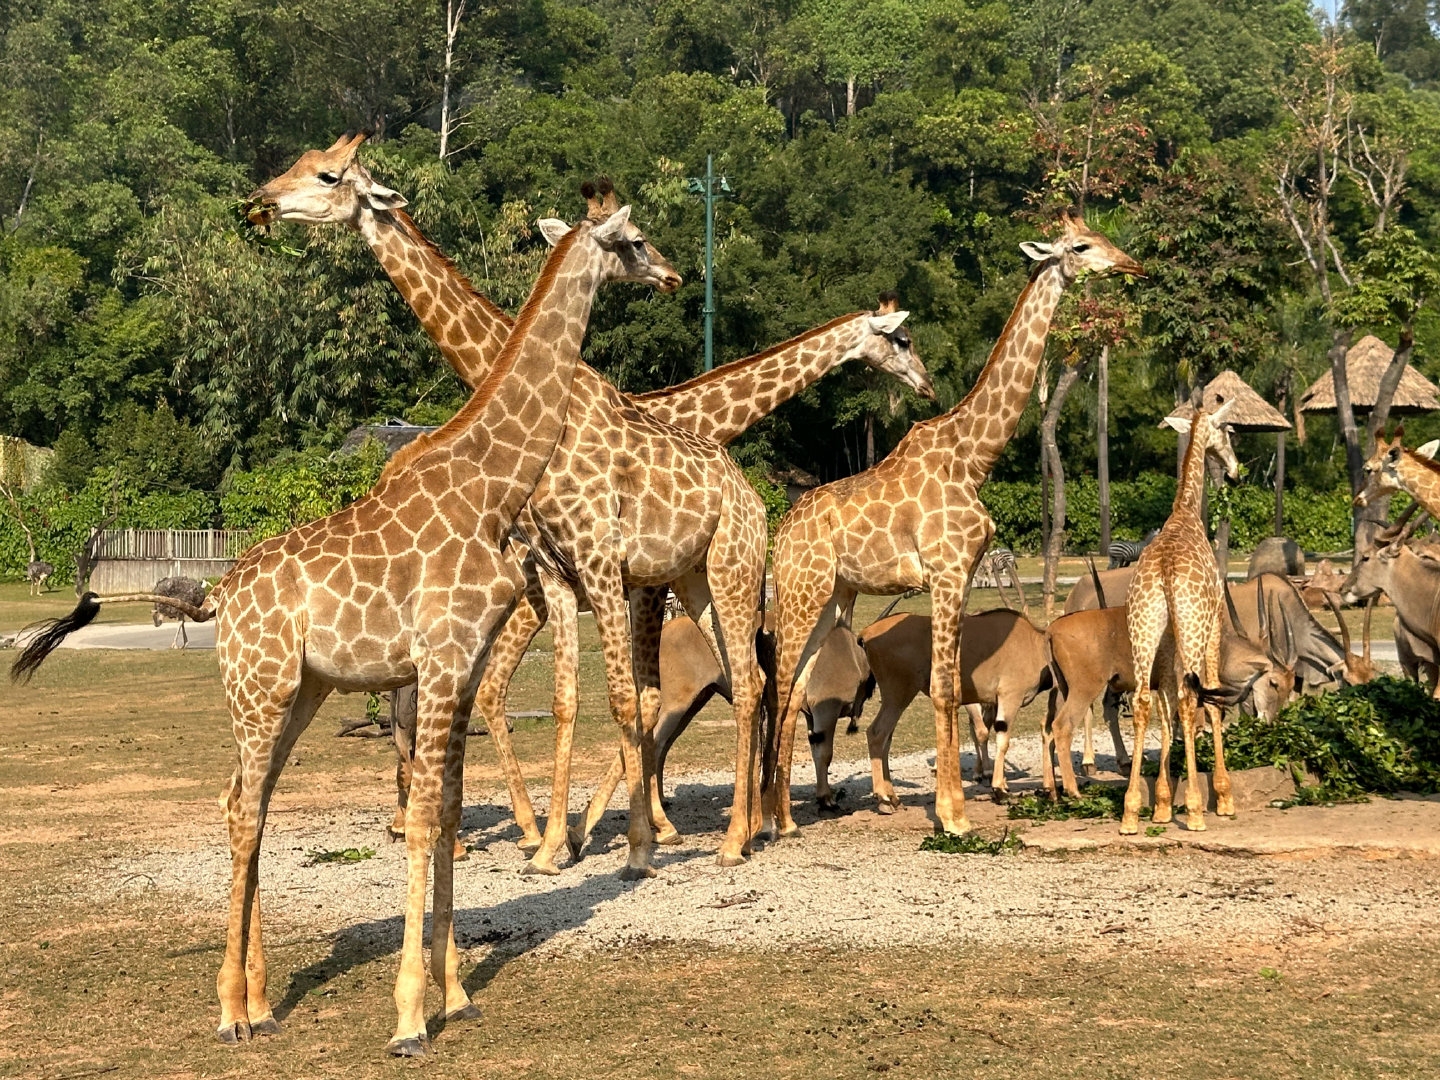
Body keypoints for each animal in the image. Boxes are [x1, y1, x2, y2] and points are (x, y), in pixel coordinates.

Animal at [14, 182, 679, 1054]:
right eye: (633, 240)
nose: (672, 275)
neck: (490, 488)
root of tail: (222, 594)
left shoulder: (459, 669)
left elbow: (448, 813)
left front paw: (456, 995)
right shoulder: (440, 661)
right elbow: (423, 816)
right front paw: (409, 1018)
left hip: (302, 691)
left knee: (244, 802)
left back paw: (261, 1002)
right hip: (260, 690)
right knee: (244, 807)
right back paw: (231, 1011)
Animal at [249, 137, 933, 869]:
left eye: (324, 174)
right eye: (902, 339)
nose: (262, 201)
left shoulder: (627, 580)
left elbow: (634, 697)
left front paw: (619, 831)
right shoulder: (588, 578)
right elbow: (597, 700)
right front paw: (589, 834)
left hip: (701, 576)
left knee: (754, 679)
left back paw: (741, 826)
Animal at [760, 211, 1140, 835]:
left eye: (1104, 236)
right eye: (1083, 246)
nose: (1131, 264)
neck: (973, 456)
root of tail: (784, 528)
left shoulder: (964, 572)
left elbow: (960, 691)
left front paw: (959, 802)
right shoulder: (946, 568)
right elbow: (942, 687)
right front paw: (953, 816)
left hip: (831, 597)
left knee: (792, 691)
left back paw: (786, 819)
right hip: (800, 590)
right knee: (779, 686)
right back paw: (765, 822)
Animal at [1117, 400, 1244, 835]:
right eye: (1230, 431)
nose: (1236, 471)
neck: (1186, 512)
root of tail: (1166, 569)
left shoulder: (1169, 640)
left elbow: (1165, 708)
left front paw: (1160, 804)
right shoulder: (1213, 624)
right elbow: (1211, 697)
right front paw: (1222, 797)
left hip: (1142, 626)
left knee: (1143, 700)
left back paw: (1130, 813)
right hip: (1193, 626)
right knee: (1192, 698)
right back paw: (1196, 811)